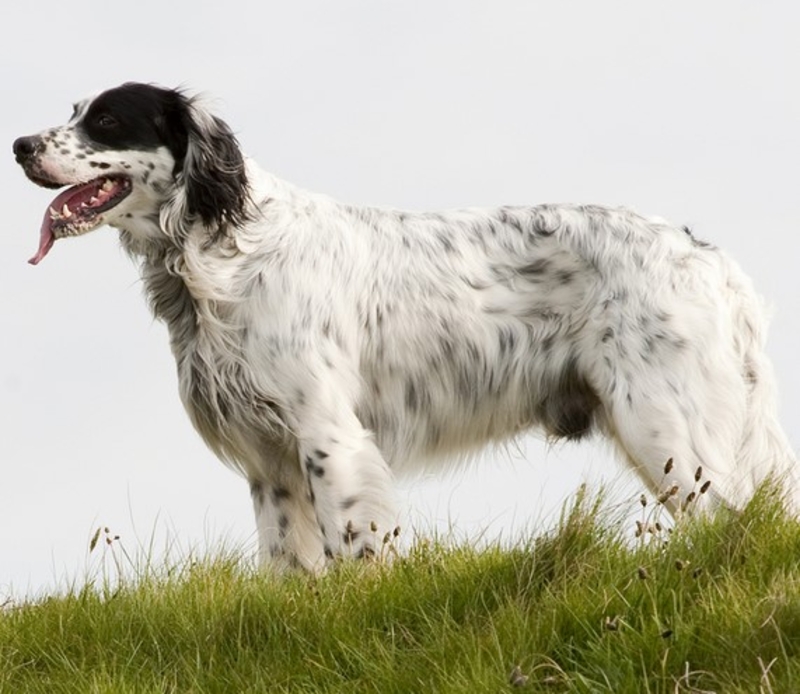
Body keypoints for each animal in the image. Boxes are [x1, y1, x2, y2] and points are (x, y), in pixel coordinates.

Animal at [15, 83, 796, 572]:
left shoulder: (328, 434)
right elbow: (289, 565)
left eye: (107, 121)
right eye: (76, 111)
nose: (20, 144)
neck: (223, 255)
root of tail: (710, 258)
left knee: (733, 521)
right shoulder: (269, 464)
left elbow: (357, 545)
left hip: (664, 428)